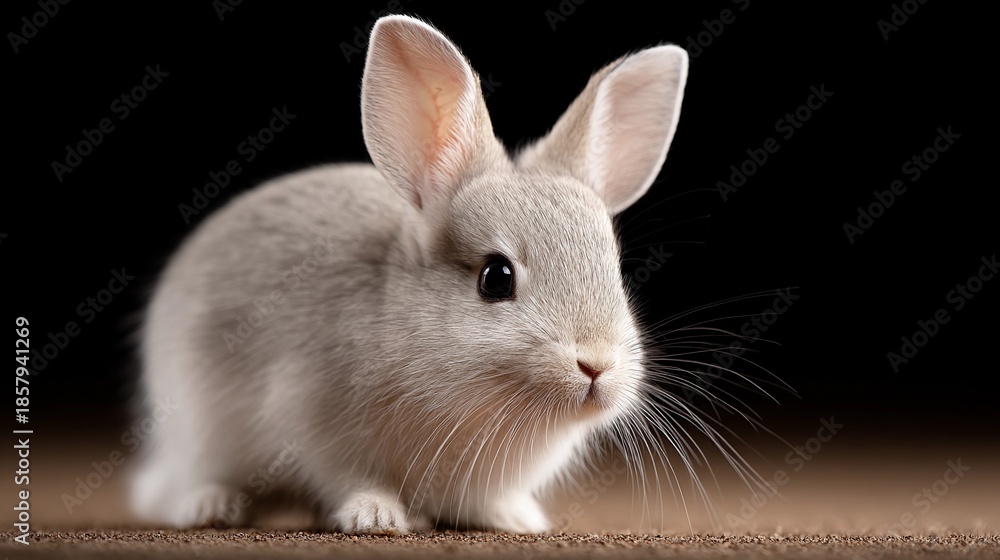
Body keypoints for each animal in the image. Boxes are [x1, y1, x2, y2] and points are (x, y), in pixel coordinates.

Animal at [128, 14, 688, 534]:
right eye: (496, 278)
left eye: (615, 272)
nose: (596, 365)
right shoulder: (312, 422)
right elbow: (349, 479)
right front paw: (376, 516)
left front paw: (516, 518)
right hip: (195, 425)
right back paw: (209, 506)